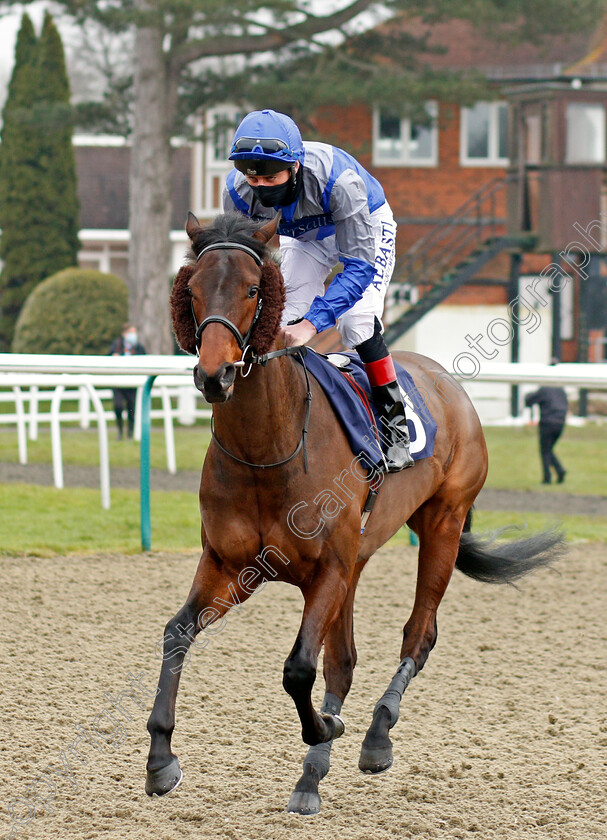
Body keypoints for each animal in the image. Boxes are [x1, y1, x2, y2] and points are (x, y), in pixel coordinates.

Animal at [146, 210, 564, 812]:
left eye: (252, 289)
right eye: (193, 290)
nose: (214, 375)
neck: (266, 450)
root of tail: (446, 381)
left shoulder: (328, 569)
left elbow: (299, 669)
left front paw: (325, 727)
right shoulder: (230, 566)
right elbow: (177, 633)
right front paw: (161, 758)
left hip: (442, 521)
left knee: (419, 634)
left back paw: (375, 735)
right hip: (360, 558)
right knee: (344, 660)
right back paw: (312, 776)